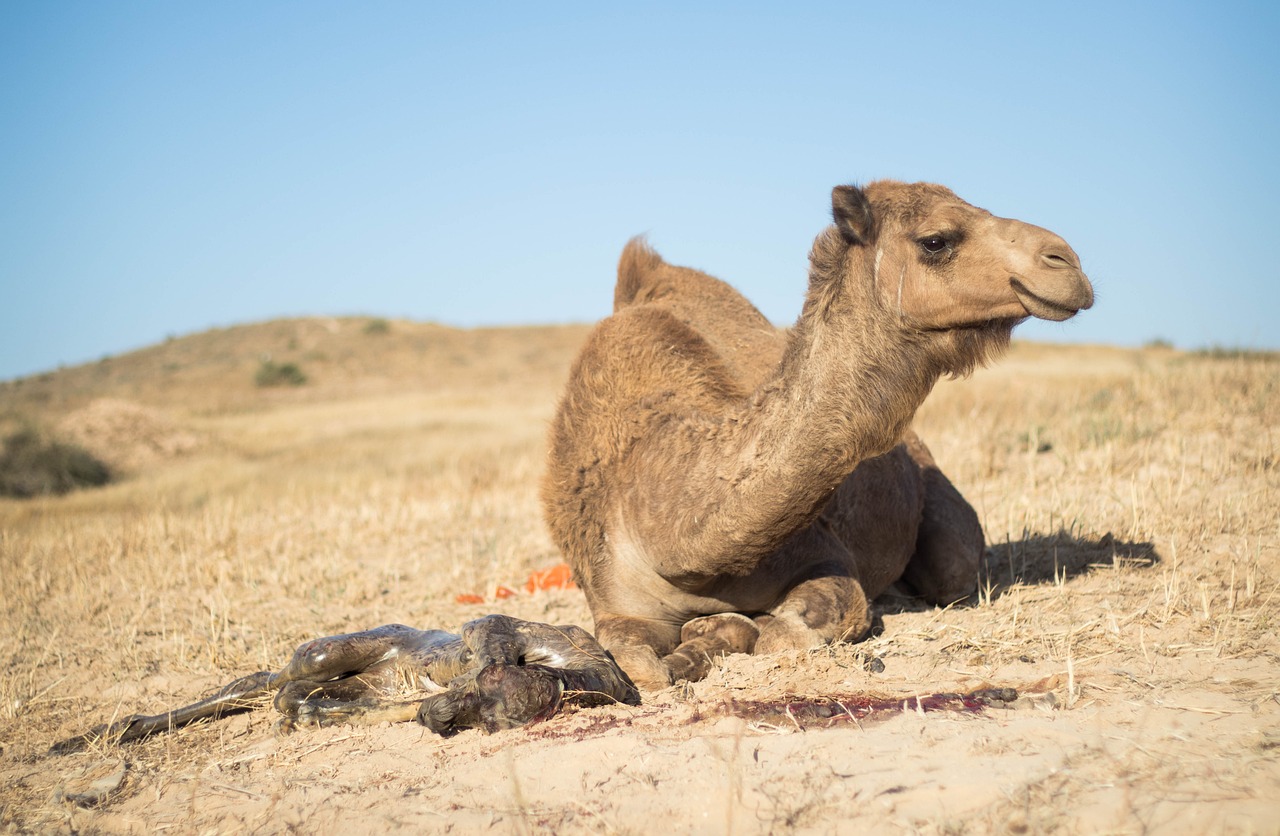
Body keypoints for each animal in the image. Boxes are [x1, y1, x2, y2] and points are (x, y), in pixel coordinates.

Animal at [540, 183, 1090, 691]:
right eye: (936, 240)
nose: (1066, 262)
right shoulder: (615, 602)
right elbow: (640, 664)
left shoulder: (824, 558)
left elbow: (791, 627)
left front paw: (717, 632)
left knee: (950, 570)